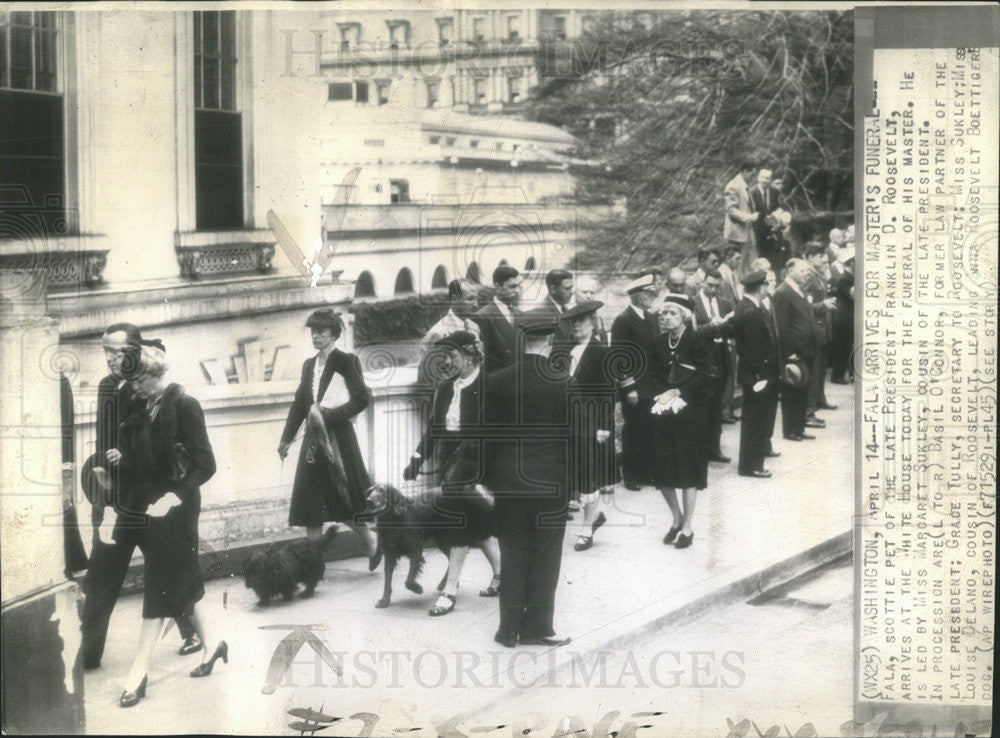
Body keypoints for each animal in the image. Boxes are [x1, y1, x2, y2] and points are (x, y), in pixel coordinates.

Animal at [364, 480, 450, 608]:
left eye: (382, 490)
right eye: (370, 490)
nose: (369, 501)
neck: (394, 521)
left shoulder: (416, 550)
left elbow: (408, 580)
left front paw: (417, 588)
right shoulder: (390, 553)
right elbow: (387, 579)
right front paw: (385, 600)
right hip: (441, 541)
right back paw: (445, 584)